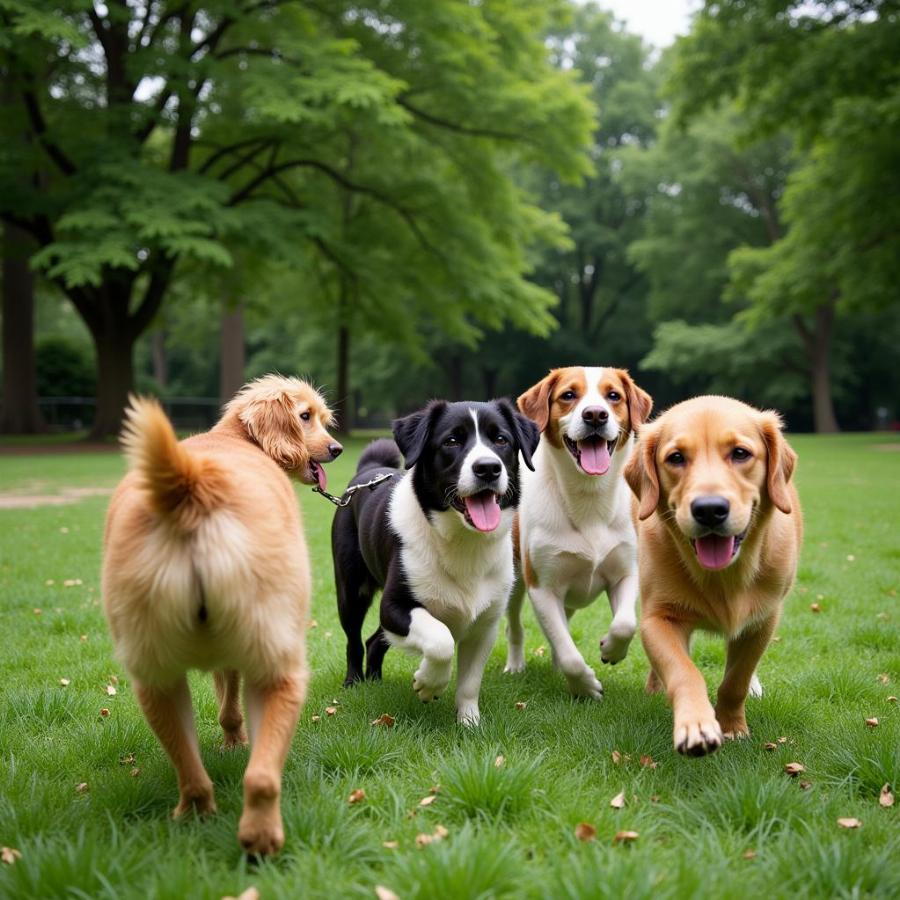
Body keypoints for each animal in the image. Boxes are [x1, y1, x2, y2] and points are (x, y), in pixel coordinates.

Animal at [102, 376, 342, 856]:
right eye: (306, 417)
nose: (338, 448)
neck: (238, 439)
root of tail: (192, 484)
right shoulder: (233, 657)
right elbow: (230, 705)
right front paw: (234, 741)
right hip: (277, 655)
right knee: (263, 774)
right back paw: (262, 836)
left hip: (153, 674)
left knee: (190, 767)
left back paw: (197, 811)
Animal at [334, 400, 536, 724]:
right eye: (451, 441)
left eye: (501, 439)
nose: (488, 468)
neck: (464, 542)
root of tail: (369, 470)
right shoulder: (394, 606)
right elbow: (442, 641)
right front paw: (429, 683)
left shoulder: (486, 623)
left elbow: (470, 681)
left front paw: (469, 722)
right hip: (352, 590)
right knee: (354, 639)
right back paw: (354, 681)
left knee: (375, 640)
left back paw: (375, 680)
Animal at [502, 364, 652, 696]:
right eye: (568, 395)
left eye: (614, 396)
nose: (595, 415)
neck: (589, 498)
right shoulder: (543, 587)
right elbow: (569, 653)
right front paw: (584, 686)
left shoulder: (626, 572)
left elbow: (625, 624)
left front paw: (611, 649)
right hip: (515, 579)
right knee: (515, 626)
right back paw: (515, 664)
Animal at [624, 398, 800, 756]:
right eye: (676, 457)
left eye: (740, 453)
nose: (709, 509)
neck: (723, 577)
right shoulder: (658, 618)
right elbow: (684, 672)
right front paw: (696, 724)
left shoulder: (763, 621)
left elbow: (736, 679)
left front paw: (732, 726)